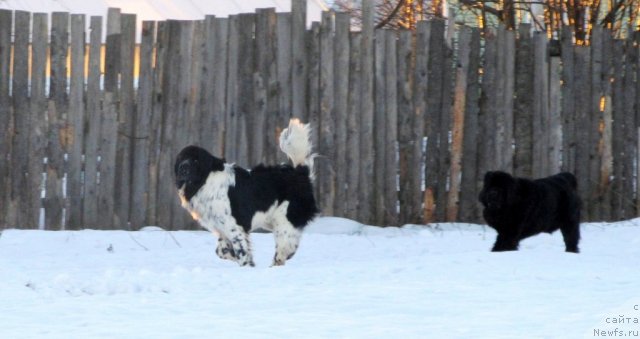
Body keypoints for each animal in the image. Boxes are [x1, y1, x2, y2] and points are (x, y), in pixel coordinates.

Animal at [175, 120, 318, 268]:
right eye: (181, 158)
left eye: (196, 160)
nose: (183, 168)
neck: (204, 181)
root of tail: (300, 172)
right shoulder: (221, 228)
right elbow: (222, 251)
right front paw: (245, 261)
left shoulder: (234, 226)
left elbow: (241, 252)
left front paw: (246, 266)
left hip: (284, 221)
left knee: (284, 251)